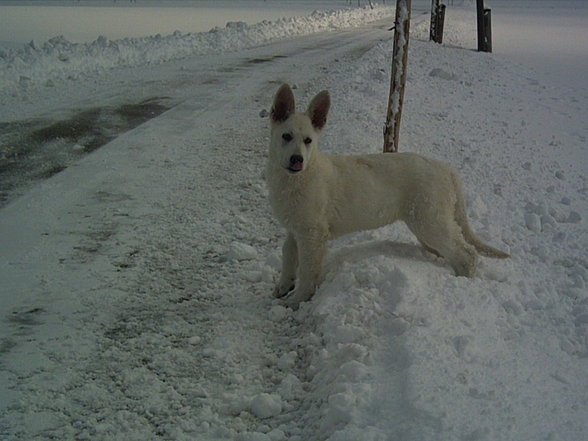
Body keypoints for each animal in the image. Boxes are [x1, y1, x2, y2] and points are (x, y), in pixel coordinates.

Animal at [268, 84, 510, 308]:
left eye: (308, 140)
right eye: (286, 136)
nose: (297, 160)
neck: (300, 176)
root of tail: (446, 168)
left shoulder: (312, 234)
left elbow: (307, 270)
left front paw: (296, 300)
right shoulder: (295, 229)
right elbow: (288, 255)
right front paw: (283, 286)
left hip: (431, 222)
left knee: (467, 254)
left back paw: (462, 282)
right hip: (427, 223)